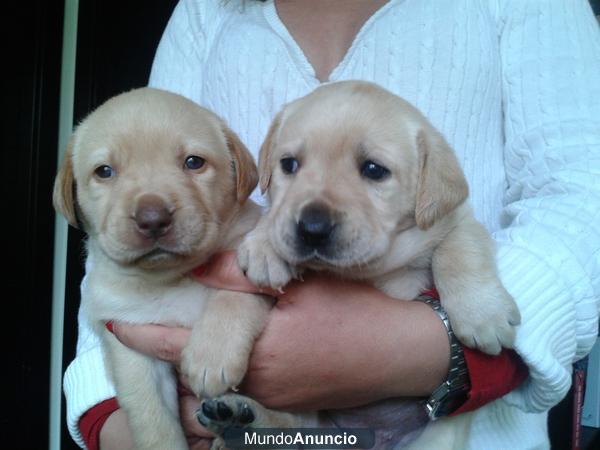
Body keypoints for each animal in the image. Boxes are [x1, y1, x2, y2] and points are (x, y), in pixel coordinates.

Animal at [53, 88, 270, 450]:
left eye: (194, 162)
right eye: (104, 171)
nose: (152, 219)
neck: (173, 278)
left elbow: (233, 295)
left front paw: (212, 355)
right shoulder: (131, 343)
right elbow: (153, 420)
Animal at [197, 81, 520, 450]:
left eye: (374, 170)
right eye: (288, 165)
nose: (312, 228)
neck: (369, 268)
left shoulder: (457, 219)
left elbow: (459, 249)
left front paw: (483, 315)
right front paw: (265, 249)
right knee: (295, 430)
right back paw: (239, 420)